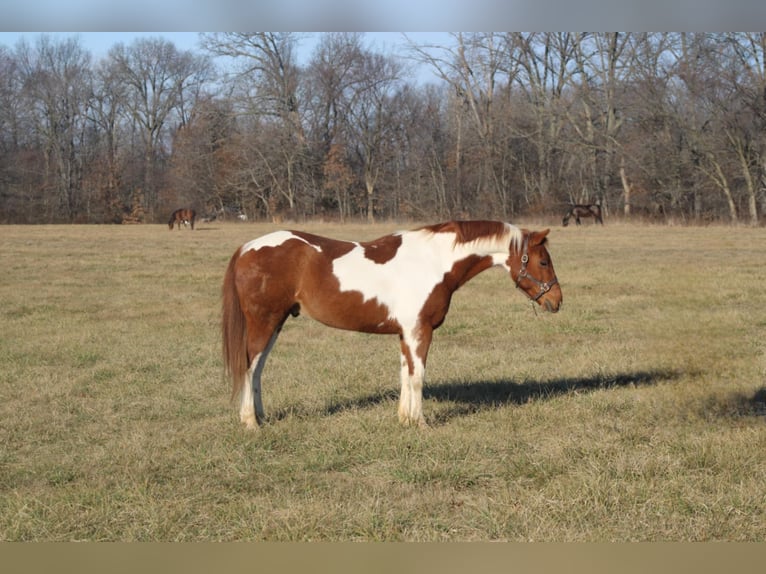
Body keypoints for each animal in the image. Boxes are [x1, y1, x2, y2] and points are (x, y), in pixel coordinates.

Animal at [222, 220, 564, 432]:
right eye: (543, 261)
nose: (557, 301)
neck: (433, 262)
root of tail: (247, 247)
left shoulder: (405, 334)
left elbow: (405, 375)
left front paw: (405, 420)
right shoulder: (419, 331)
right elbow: (418, 376)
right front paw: (421, 423)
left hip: (275, 323)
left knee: (258, 369)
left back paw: (261, 417)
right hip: (264, 322)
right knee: (249, 367)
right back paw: (250, 422)